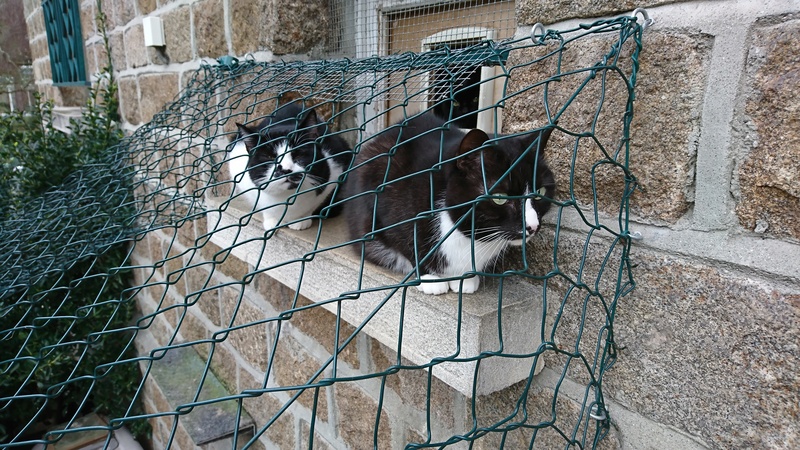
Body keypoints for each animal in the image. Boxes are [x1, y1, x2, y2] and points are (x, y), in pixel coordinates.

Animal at [340, 111, 552, 296]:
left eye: (540, 193)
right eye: (500, 197)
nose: (533, 226)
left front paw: (467, 279)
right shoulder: (384, 199)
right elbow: (407, 241)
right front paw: (429, 278)